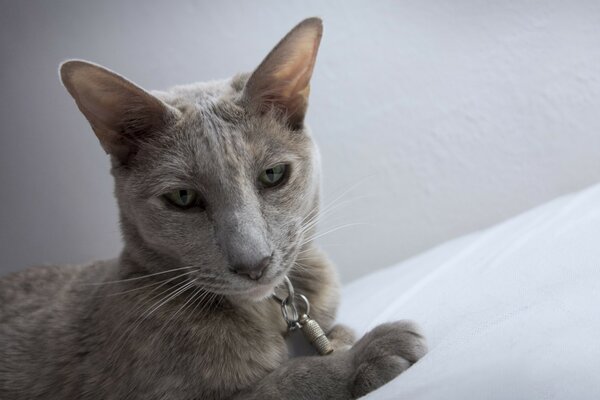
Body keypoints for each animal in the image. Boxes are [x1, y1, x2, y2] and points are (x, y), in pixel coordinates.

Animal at [0, 18, 426, 400]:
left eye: (273, 175)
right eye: (183, 198)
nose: (253, 264)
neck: (268, 312)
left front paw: (343, 339)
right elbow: (283, 381)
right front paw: (363, 355)